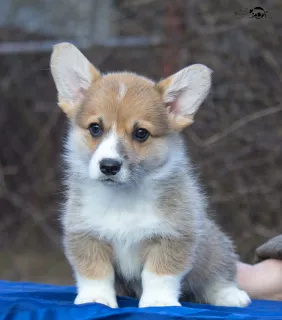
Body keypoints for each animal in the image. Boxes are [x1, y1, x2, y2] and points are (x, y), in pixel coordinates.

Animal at [50, 42, 251, 308]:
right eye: (95, 128)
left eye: (141, 133)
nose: (109, 166)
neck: (123, 198)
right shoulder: (86, 235)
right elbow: (95, 272)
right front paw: (96, 299)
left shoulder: (173, 237)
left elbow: (159, 274)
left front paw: (158, 302)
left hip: (214, 248)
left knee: (218, 275)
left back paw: (230, 295)